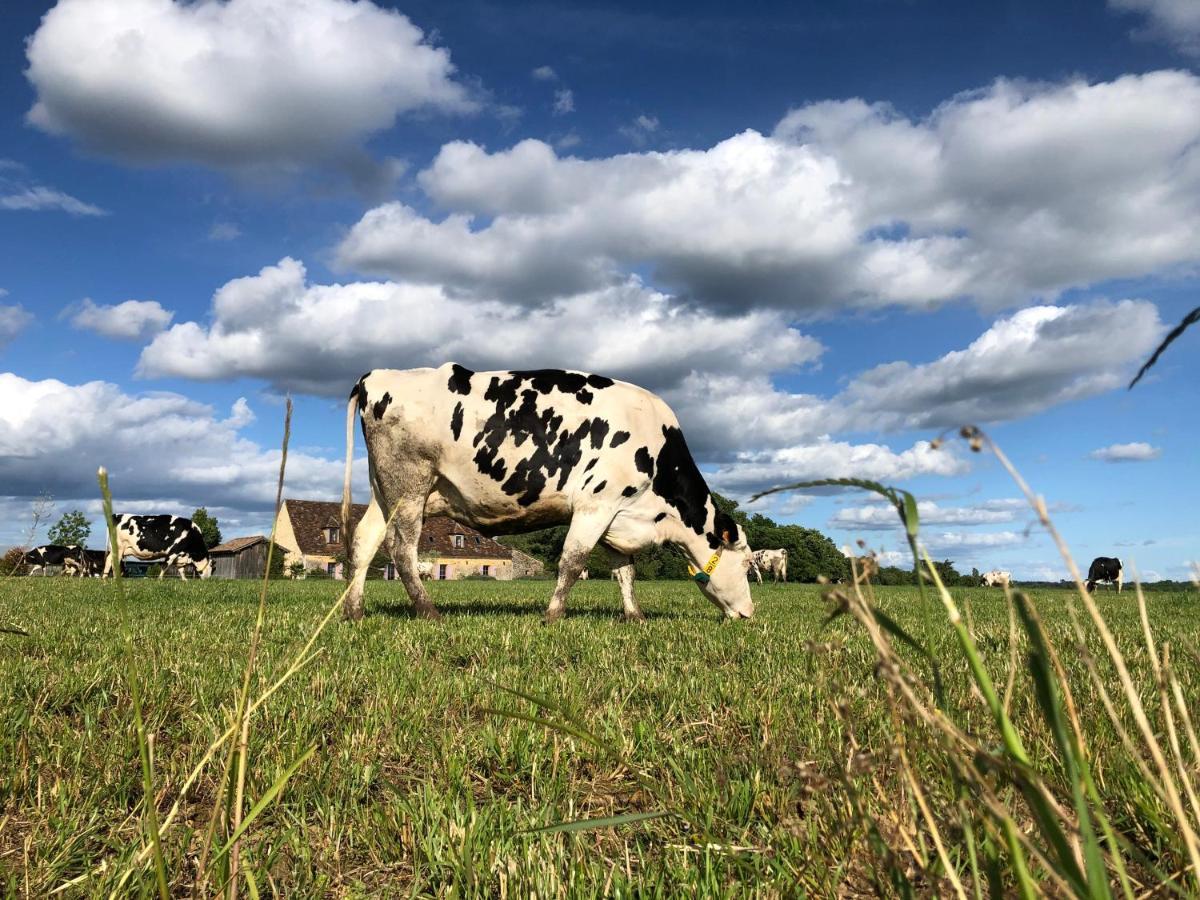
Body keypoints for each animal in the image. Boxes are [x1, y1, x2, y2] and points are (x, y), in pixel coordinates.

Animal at [343, 362, 753, 624]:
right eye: (749, 564)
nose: (751, 613)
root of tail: (375, 376)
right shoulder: (595, 505)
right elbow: (572, 563)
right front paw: (553, 616)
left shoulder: (617, 516)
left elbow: (625, 572)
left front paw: (635, 617)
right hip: (410, 485)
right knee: (402, 550)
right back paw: (429, 612)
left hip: (385, 490)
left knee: (364, 541)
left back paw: (353, 611)